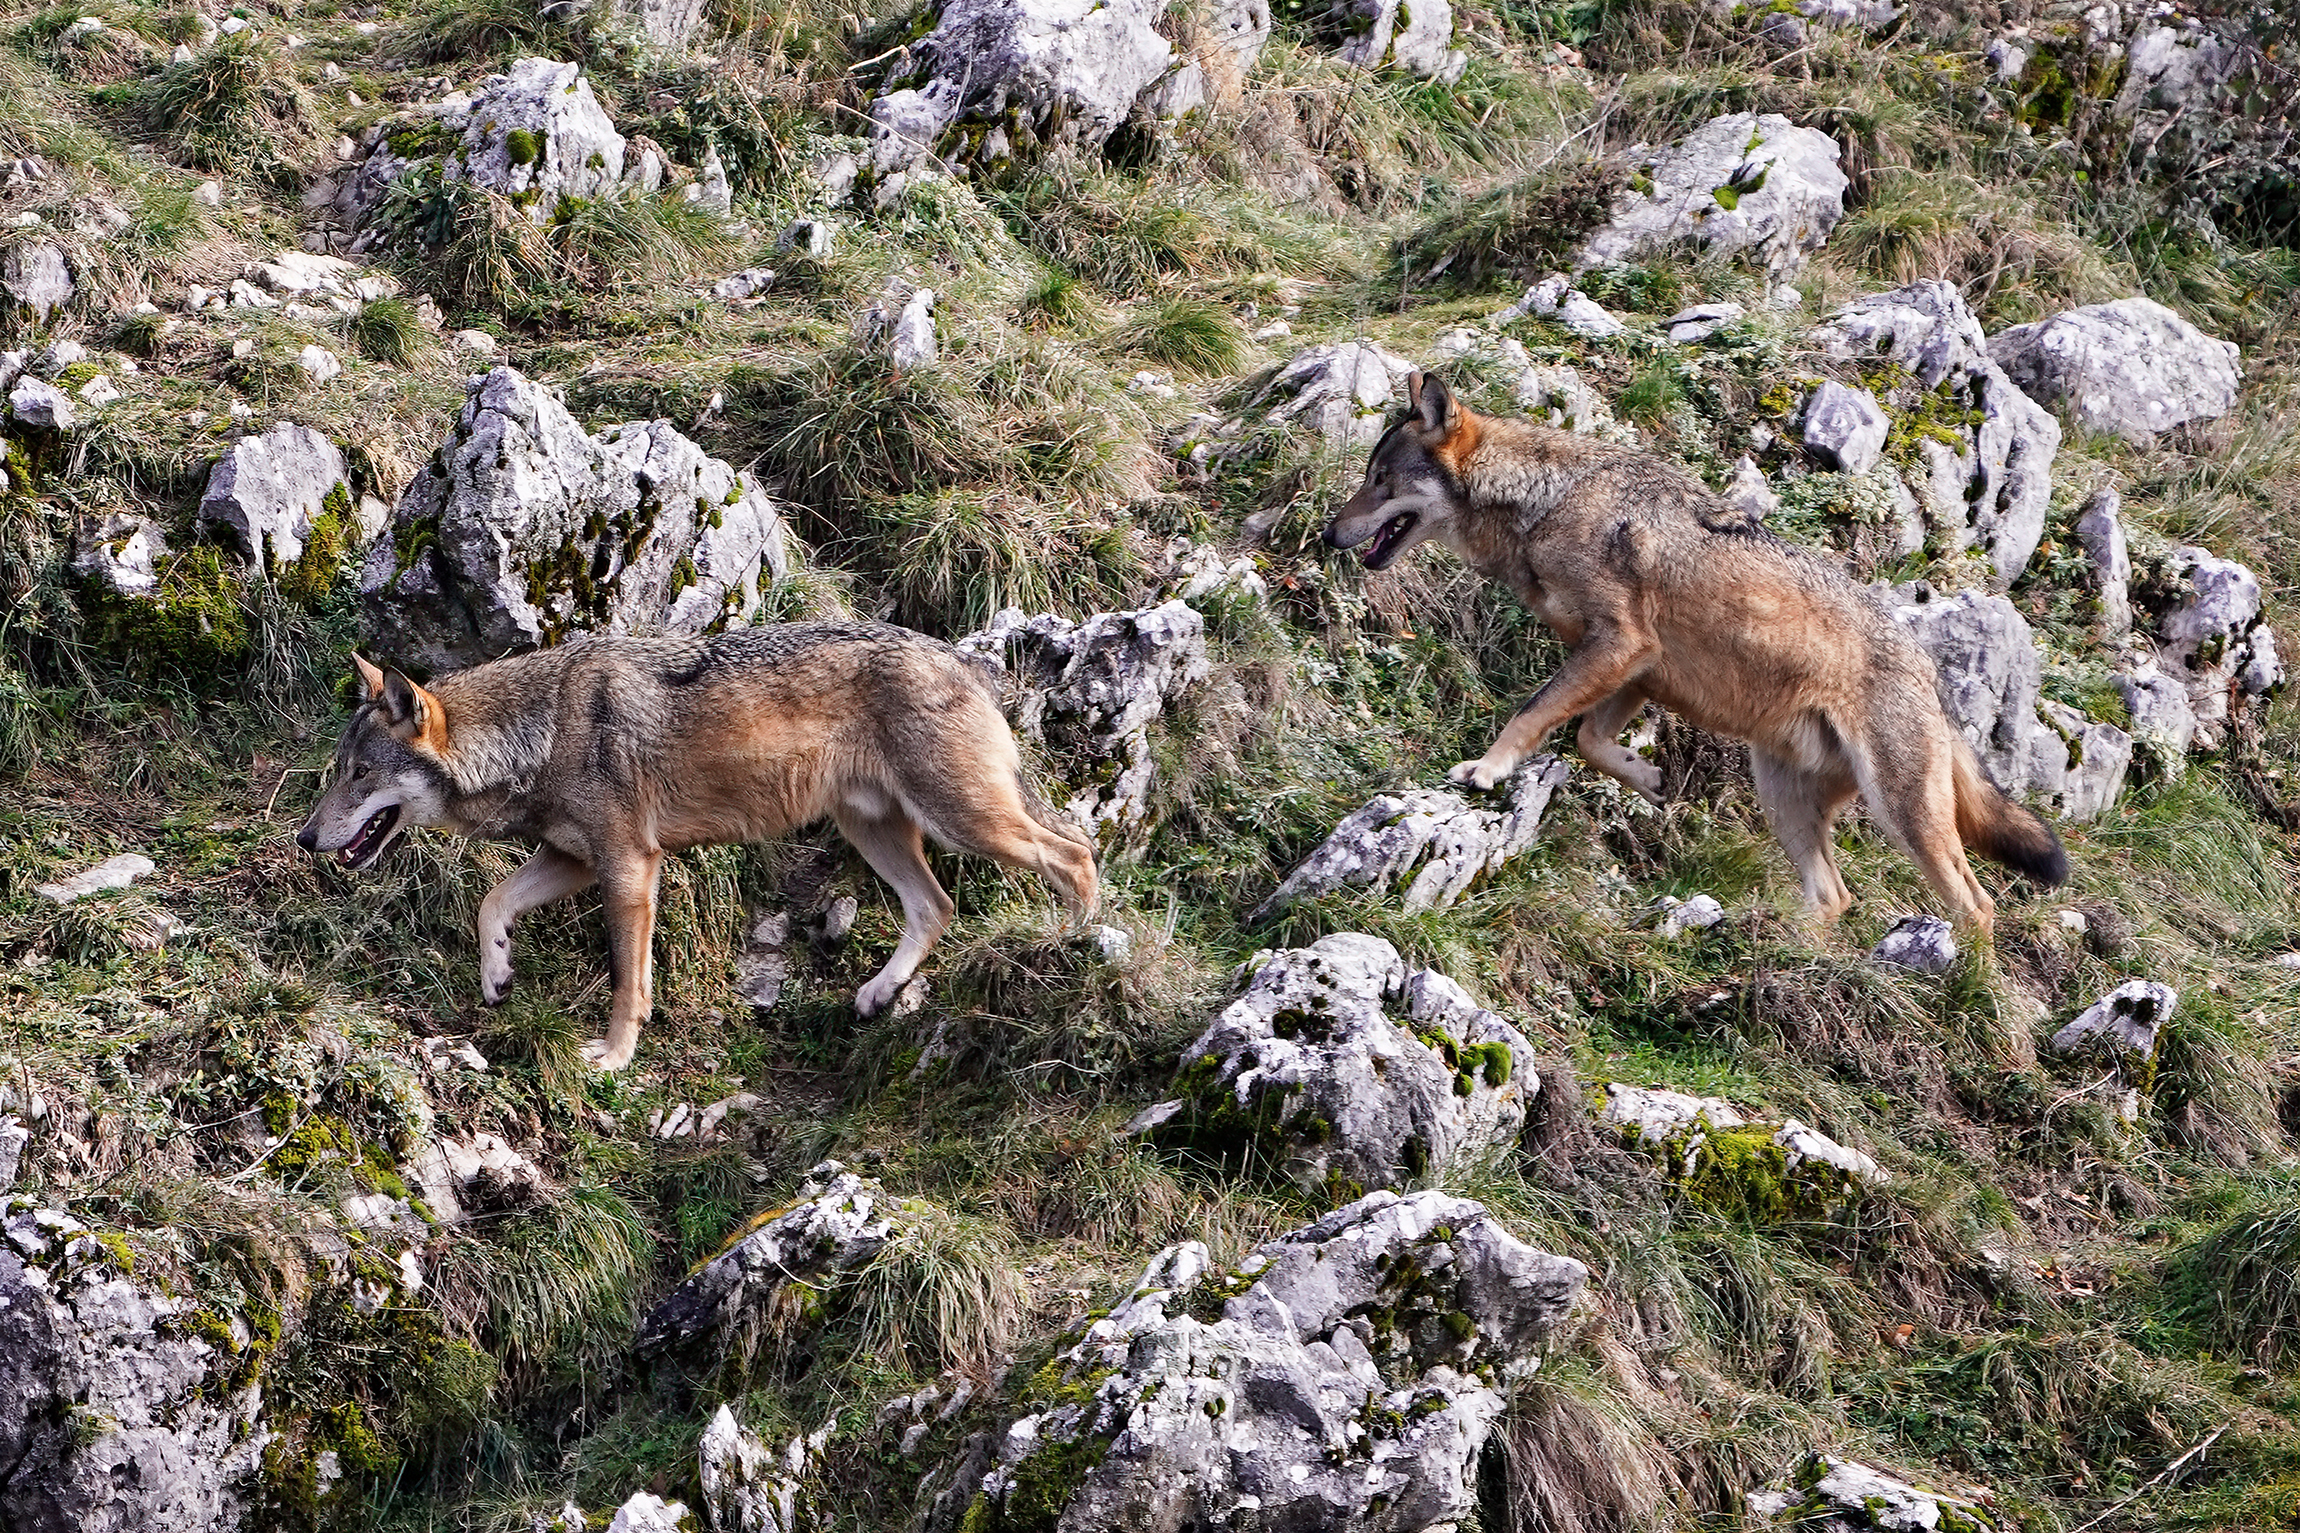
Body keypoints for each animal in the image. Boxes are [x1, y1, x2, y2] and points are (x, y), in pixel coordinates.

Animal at [295, 623, 1099, 1070]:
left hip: (965, 820)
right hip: (875, 830)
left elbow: (628, 982)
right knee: (936, 907)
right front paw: (496, 974)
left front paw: (613, 1057)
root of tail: (969, 663)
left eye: (358, 774)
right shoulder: (574, 858)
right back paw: (878, 993)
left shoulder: (627, 865)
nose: (304, 837)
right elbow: (492, 903)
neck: (538, 734)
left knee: (1077, 854)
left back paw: (1075, 946)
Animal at [1321, 372, 2067, 933]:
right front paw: (1648, 779)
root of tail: (1929, 673)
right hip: (1783, 801)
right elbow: (1588, 741)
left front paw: (1485, 770)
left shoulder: (1621, 644)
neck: (1549, 502)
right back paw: (1783, 951)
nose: (1329, 534)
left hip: (1903, 815)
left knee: (1977, 905)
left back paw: (1962, 985)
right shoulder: (1634, 669)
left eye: (1381, 480)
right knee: (1835, 895)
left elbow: (1531, 714)